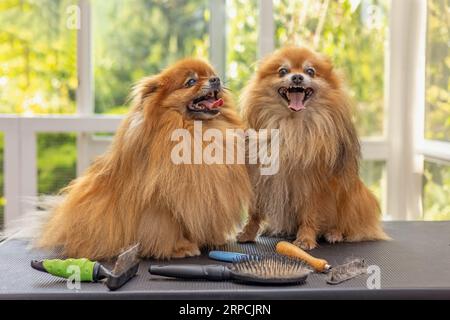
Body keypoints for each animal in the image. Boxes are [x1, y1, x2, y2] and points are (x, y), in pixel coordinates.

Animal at [37, 58, 251, 262]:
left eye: (211, 74)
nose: (216, 80)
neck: (195, 130)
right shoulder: (160, 204)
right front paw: (178, 248)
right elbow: (164, 228)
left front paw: (213, 239)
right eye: (191, 82)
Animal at [237, 46, 388, 249]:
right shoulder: (259, 178)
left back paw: (334, 233)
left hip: (352, 196)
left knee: (346, 223)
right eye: (282, 71)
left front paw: (306, 238)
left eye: (310, 71)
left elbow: (309, 214)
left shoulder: (313, 185)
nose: (297, 77)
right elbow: (254, 212)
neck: (291, 126)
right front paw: (247, 233)